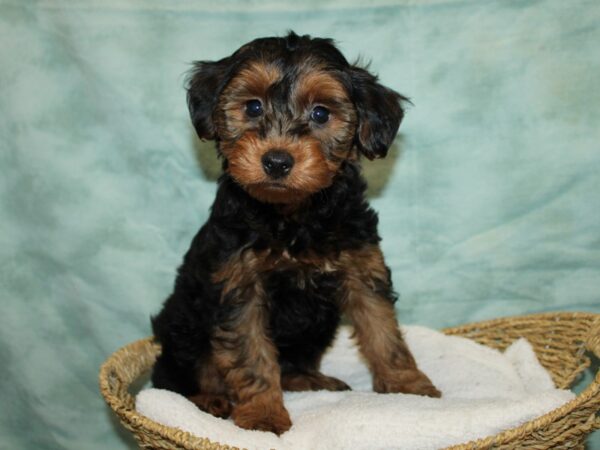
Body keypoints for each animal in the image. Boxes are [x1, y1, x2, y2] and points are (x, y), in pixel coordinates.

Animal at [151, 31, 440, 436]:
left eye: (321, 113)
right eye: (253, 107)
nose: (276, 161)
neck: (293, 215)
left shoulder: (361, 265)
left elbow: (382, 328)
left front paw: (407, 386)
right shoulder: (240, 286)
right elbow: (251, 354)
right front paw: (263, 415)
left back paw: (309, 378)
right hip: (183, 328)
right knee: (173, 378)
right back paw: (209, 399)